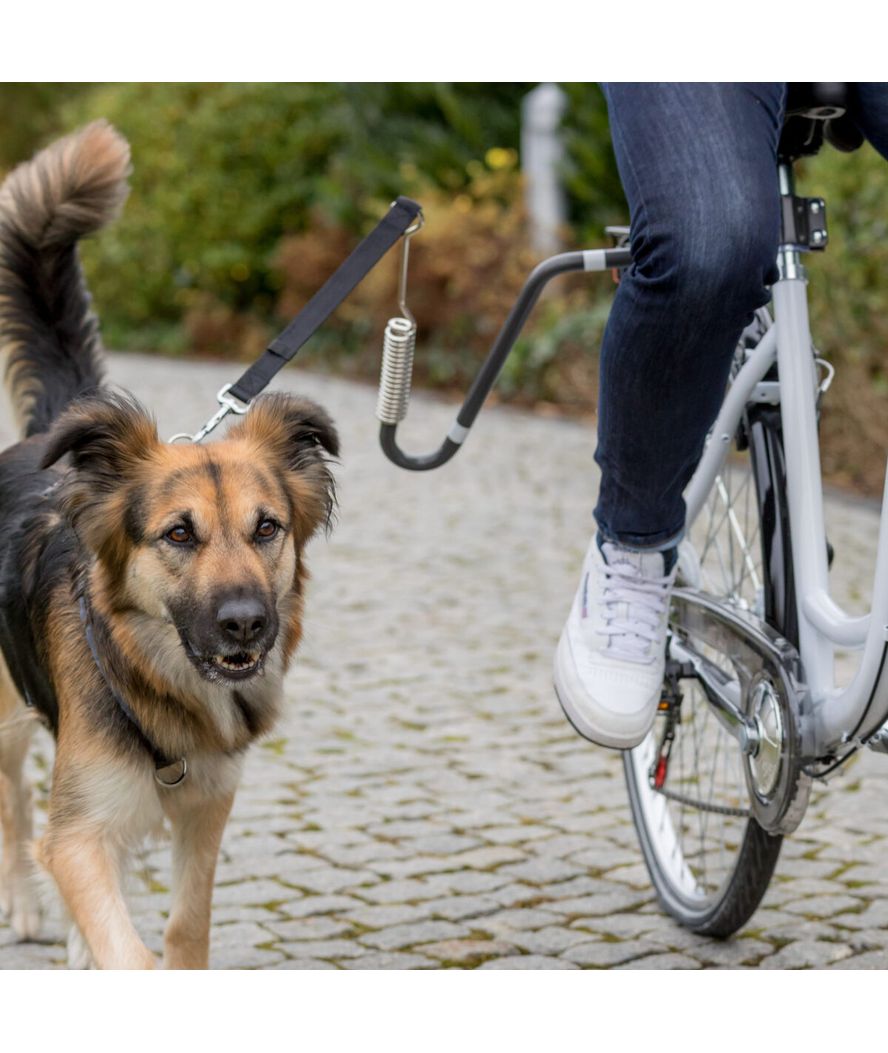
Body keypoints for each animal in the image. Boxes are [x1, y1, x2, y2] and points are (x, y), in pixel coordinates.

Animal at [0, 119, 339, 964]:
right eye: (178, 533)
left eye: (266, 527)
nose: (246, 623)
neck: (157, 678)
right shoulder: (78, 833)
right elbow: (121, 940)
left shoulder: (205, 809)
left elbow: (183, 929)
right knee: (14, 802)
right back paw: (23, 904)